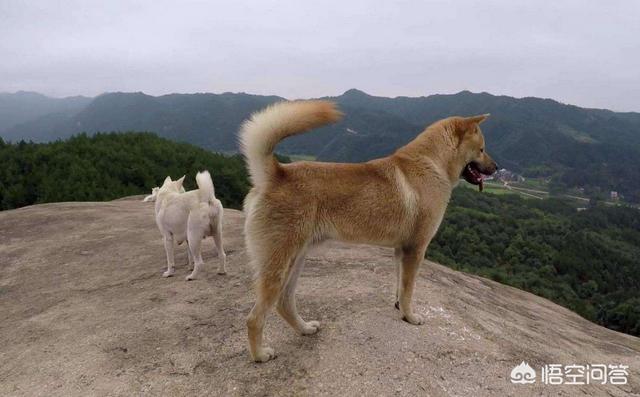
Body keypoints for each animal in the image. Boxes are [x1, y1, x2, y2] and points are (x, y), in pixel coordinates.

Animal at [241, 100, 500, 360]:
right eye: (481, 149)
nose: (497, 167)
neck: (432, 162)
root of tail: (276, 173)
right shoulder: (416, 249)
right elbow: (408, 289)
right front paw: (409, 316)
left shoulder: (401, 250)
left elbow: (400, 285)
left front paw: (399, 307)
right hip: (278, 264)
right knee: (254, 317)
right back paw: (260, 354)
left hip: (296, 258)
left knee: (284, 303)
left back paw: (305, 329)